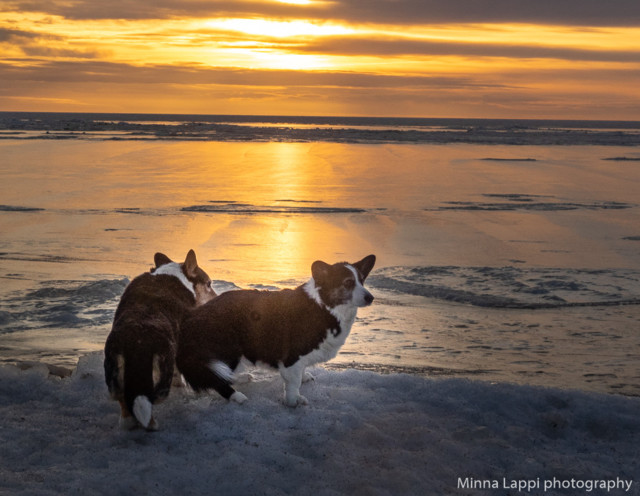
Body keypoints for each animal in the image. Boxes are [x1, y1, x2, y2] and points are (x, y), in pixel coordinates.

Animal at [104, 252, 216, 430]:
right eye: (209, 284)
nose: (217, 298)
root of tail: (138, 343)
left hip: (113, 374)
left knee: (123, 400)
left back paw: (128, 423)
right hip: (162, 376)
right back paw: (152, 424)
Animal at [175, 256, 376, 406]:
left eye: (362, 280)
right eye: (348, 282)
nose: (371, 298)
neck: (323, 306)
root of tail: (190, 320)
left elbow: (302, 372)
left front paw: (305, 377)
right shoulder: (292, 358)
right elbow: (293, 383)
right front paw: (294, 401)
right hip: (229, 348)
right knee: (216, 378)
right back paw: (236, 396)